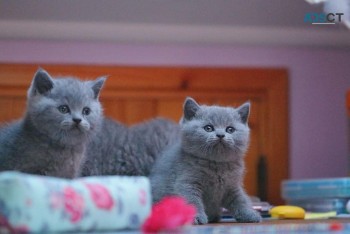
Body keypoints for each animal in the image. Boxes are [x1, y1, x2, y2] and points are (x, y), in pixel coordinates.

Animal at [149, 97, 262, 225]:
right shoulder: (187, 183)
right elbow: (192, 200)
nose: (220, 135)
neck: (217, 165)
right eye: (208, 128)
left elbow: (241, 200)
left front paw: (250, 214)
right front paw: (196, 217)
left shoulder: (232, 186)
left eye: (230, 129)